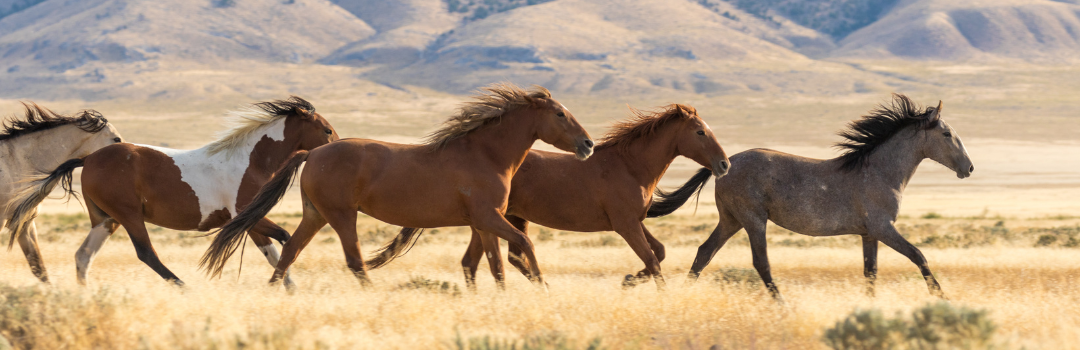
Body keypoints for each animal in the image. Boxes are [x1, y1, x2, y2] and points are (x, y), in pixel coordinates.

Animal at [7, 96, 336, 287]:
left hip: (106, 219)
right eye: (327, 130)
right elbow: (284, 238)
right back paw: (183, 286)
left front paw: (285, 285)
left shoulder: (251, 221)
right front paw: (285, 284)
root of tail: (88, 159)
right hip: (128, 216)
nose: (336, 149)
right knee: (146, 253)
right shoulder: (246, 215)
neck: (249, 159)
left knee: (83, 255)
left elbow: (273, 249)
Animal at [200, 83, 591, 289]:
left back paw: (276, 292)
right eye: (560, 114)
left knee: (290, 251)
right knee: (354, 260)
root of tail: (312, 153)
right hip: (342, 216)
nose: (587, 145)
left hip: (315, 215)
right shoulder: (490, 217)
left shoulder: (483, 223)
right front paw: (543, 287)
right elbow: (522, 244)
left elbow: (490, 263)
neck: (486, 154)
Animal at [371, 103, 734, 289]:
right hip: (502, 218)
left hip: (494, 219)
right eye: (700, 132)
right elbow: (653, 261)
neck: (630, 166)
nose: (724, 164)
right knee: (507, 257)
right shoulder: (625, 224)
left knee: (485, 260)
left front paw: (629, 279)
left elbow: (658, 253)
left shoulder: (635, 221)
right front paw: (648, 287)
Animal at [643, 93, 976, 300]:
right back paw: (782, 305)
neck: (880, 171)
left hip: (731, 221)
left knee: (704, 253)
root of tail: (724, 163)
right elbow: (918, 255)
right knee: (760, 263)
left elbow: (870, 272)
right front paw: (942, 297)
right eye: (947, 134)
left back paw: (682, 295)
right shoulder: (884, 228)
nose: (969, 168)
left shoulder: (869, 234)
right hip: (753, 220)